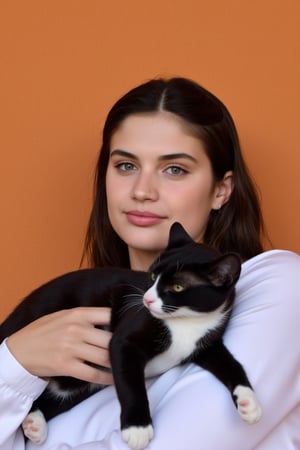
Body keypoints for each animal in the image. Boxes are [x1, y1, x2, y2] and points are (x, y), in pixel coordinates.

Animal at [0, 223, 262, 448]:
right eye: (152, 276)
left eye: (177, 287)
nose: (146, 299)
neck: (186, 324)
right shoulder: (124, 340)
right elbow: (130, 383)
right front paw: (137, 428)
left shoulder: (206, 343)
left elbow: (230, 363)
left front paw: (249, 402)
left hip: (78, 384)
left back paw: (34, 424)